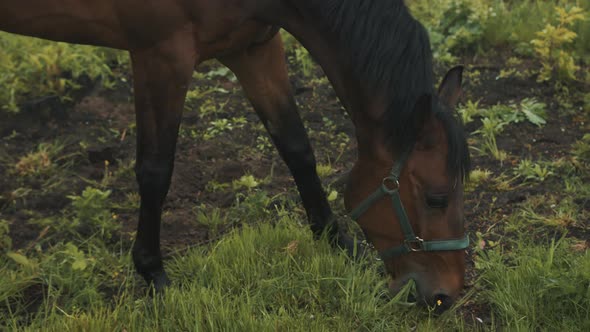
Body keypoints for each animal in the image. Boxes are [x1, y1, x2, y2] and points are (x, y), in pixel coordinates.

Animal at [0, 0, 472, 312]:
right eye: (436, 198)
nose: (446, 295)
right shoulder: (161, 54)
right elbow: (156, 170)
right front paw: (153, 273)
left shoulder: (254, 47)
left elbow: (296, 146)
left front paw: (335, 239)